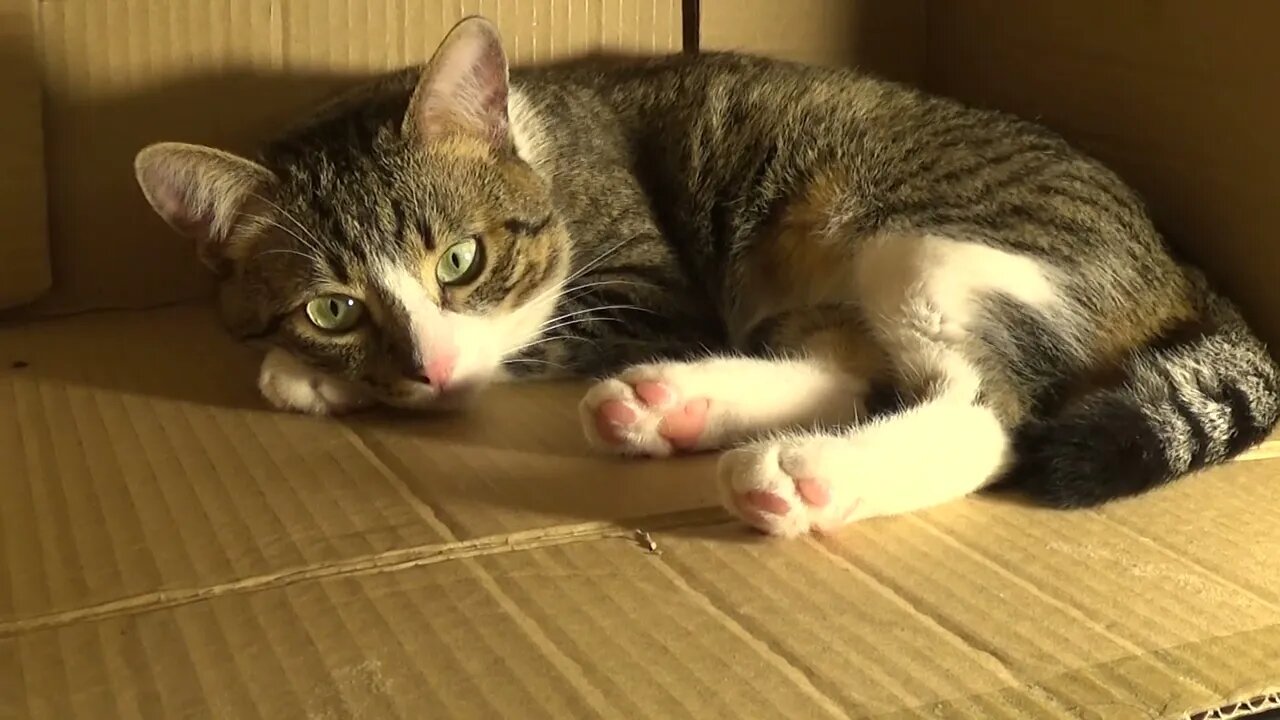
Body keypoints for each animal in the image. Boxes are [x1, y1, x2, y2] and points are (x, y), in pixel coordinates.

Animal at [135, 16, 1274, 535]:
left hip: (921, 236)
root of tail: (1179, 259)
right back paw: (668, 408)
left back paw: (806, 475)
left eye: (461, 260)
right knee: (853, 369)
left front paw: (310, 380)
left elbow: (517, 347)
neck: (540, 147)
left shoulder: (648, 287)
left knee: (980, 411)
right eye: (333, 305)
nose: (420, 364)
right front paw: (324, 368)